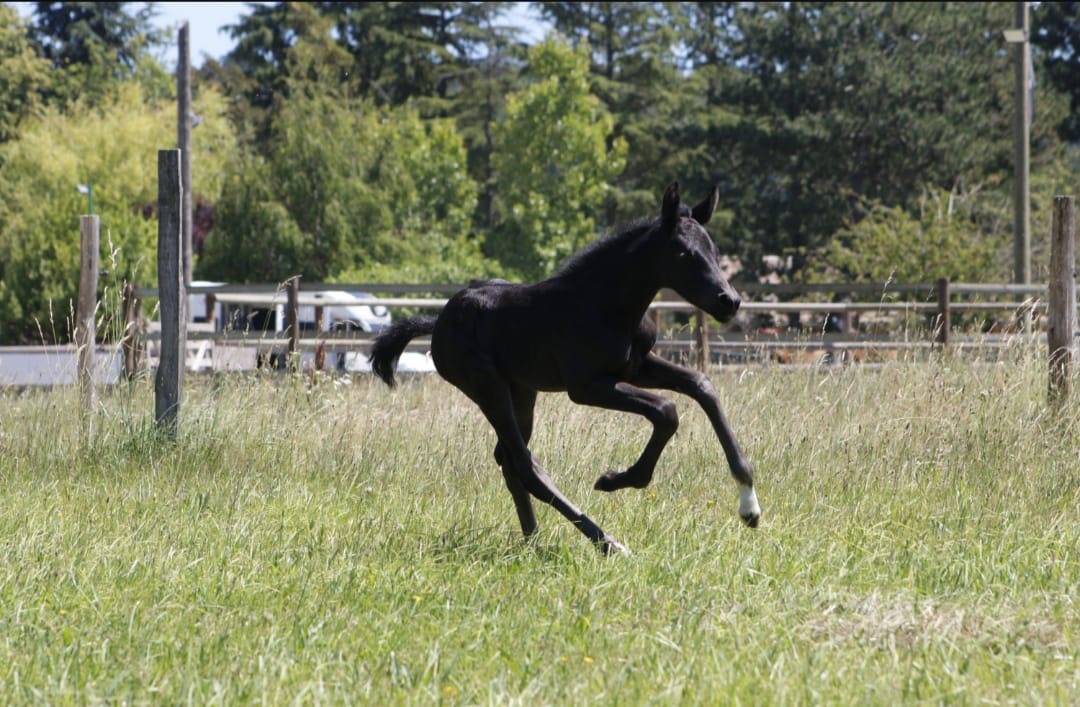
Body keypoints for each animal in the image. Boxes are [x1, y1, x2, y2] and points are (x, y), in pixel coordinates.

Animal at [369, 182, 760, 555]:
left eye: (714, 250)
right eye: (683, 252)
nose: (729, 301)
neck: (604, 304)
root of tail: (437, 323)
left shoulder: (636, 366)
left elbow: (701, 385)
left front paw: (749, 505)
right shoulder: (587, 386)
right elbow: (666, 410)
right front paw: (616, 480)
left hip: (522, 391)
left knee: (509, 461)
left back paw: (533, 541)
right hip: (487, 389)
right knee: (524, 465)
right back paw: (607, 543)